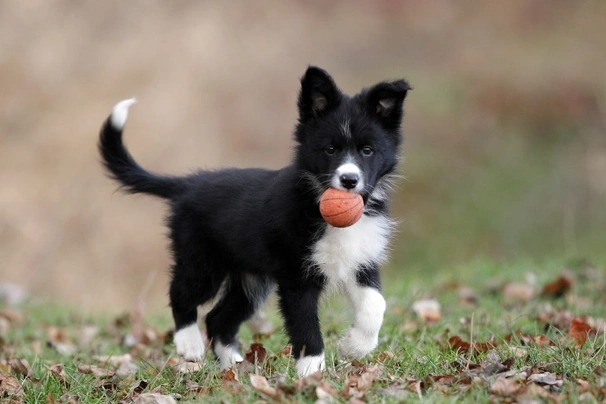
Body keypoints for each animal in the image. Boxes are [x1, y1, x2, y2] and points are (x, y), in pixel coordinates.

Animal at [98, 66, 414, 376]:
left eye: (367, 150)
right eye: (330, 150)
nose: (349, 180)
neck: (315, 200)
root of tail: (189, 184)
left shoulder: (361, 260)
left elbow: (376, 304)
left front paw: (354, 347)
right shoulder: (297, 277)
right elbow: (305, 325)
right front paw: (312, 372)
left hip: (250, 279)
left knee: (218, 318)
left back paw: (235, 367)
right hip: (202, 261)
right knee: (182, 294)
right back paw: (190, 345)